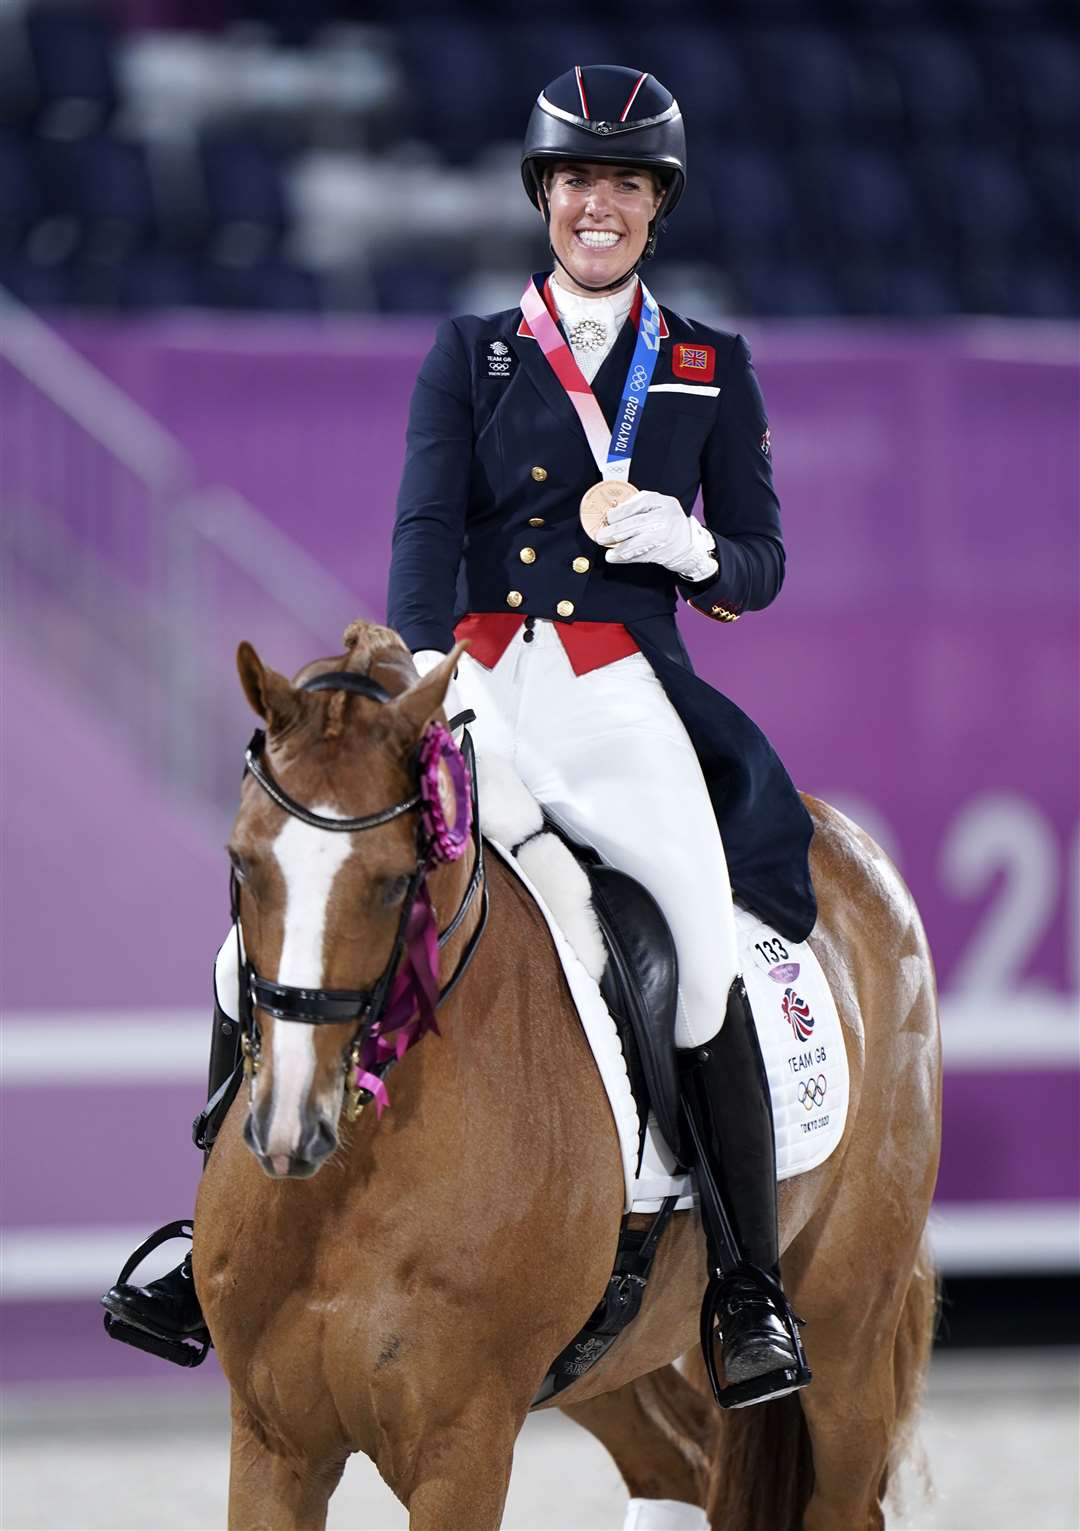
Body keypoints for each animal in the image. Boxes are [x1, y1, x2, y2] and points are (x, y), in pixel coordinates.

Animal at [197, 618, 937, 1531]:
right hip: (610, 1363)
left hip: (848, 1329)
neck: (351, 1186)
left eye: (394, 881)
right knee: (681, 1463)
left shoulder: (463, 1447)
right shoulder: (275, 1444)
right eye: (241, 862)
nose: (291, 1129)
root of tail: (849, 842)